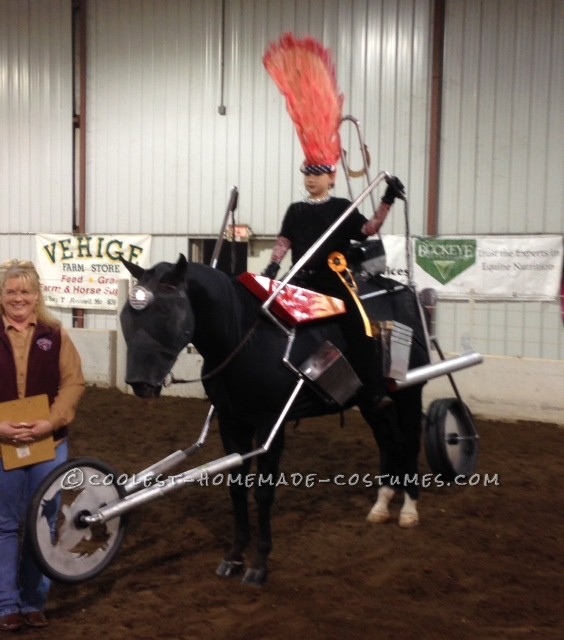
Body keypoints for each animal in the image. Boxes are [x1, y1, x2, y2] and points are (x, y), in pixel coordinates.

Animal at [119, 254, 428, 584]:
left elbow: (263, 492)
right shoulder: (232, 424)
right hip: (373, 404)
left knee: (409, 443)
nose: (139, 384)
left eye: (165, 312)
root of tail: (405, 294)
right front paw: (234, 555)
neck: (244, 337)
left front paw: (259, 563)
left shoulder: (270, 425)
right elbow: (237, 488)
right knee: (389, 441)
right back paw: (382, 505)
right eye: (126, 316)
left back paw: (409, 509)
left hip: (409, 394)